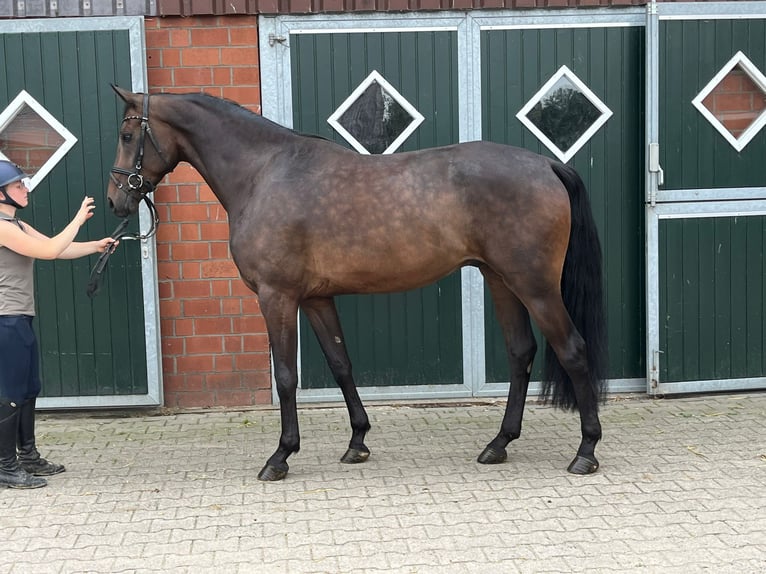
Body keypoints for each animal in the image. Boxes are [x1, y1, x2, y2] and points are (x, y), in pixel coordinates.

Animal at [109, 85, 608, 482]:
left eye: (128, 136)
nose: (116, 200)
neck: (264, 173)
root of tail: (547, 166)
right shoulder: (316, 298)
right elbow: (340, 364)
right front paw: (357, 442)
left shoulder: (277, 297)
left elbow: (286, 376)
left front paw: (280, 456)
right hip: (502, 280)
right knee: (521, 353)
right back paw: (498, 444)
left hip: (536, 286)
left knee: (572, 350)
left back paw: (585, 451)